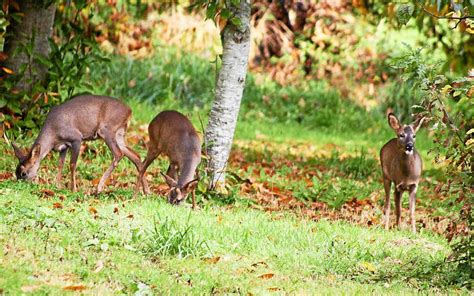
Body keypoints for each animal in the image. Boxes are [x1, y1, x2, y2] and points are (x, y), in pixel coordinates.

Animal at [12, 93, 142, 193]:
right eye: (16, 173)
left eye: (23, 173)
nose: (19, 185)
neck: (53, 133)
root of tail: (130, 111)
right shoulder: (63, 146)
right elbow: (60, 164)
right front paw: (57, 185)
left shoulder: (76, 138)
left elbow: (72, 164)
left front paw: (73, 189)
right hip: (119, 133)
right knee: (135, 156)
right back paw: (143, 192)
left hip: (107, 130)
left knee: (119, 154)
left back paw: (98, 188)